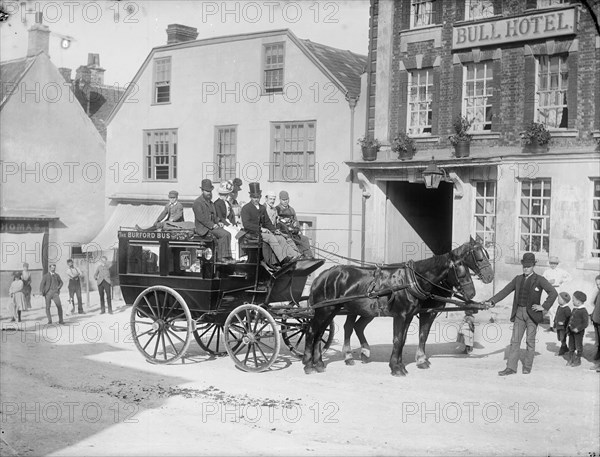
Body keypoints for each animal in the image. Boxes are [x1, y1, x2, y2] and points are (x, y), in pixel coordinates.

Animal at [304, 251, 478, 376]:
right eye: (460, 269)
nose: (472, 293)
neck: (409, 281)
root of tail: (321, 276)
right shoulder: (400, 316)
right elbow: (397, 339)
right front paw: (396, 367)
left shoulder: (408, 316)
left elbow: (403, 340)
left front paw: (400, 365)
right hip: (324, 310)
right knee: (312, 331)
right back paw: (308, 364)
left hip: (332, 310)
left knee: (321, 333)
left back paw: (319, 363)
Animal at [340, 237, 494, 366]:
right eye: (479, 257)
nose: (490, 276)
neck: (419, 279)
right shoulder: (423, 313)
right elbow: (419, 335)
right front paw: (419, 359)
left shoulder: (423, 312)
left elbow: (420, 335)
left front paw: (419, 358)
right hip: (354, 309)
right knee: (349, 327)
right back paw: (348, 356)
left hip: (368, 311)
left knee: (358, 327)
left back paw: (364, 353)